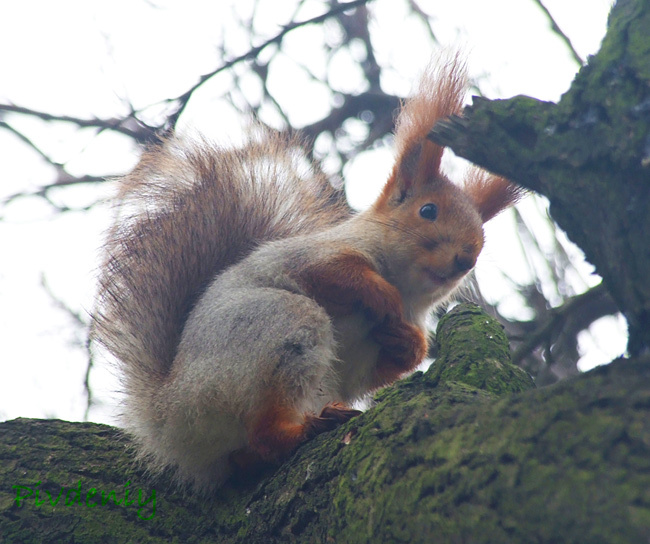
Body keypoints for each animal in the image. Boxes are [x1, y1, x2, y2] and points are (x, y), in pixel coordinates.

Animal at [92, 54, 523, 492]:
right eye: (428, 210)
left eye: (482, 234)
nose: (466, 260)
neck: (410, 292)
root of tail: (168, 419)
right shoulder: (311, 256)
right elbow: (336, 274)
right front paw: (382, 297)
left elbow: (378, 370)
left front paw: (409, 342)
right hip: (274, 327)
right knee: (265, 434)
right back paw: (305, 429)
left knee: (247, 455)